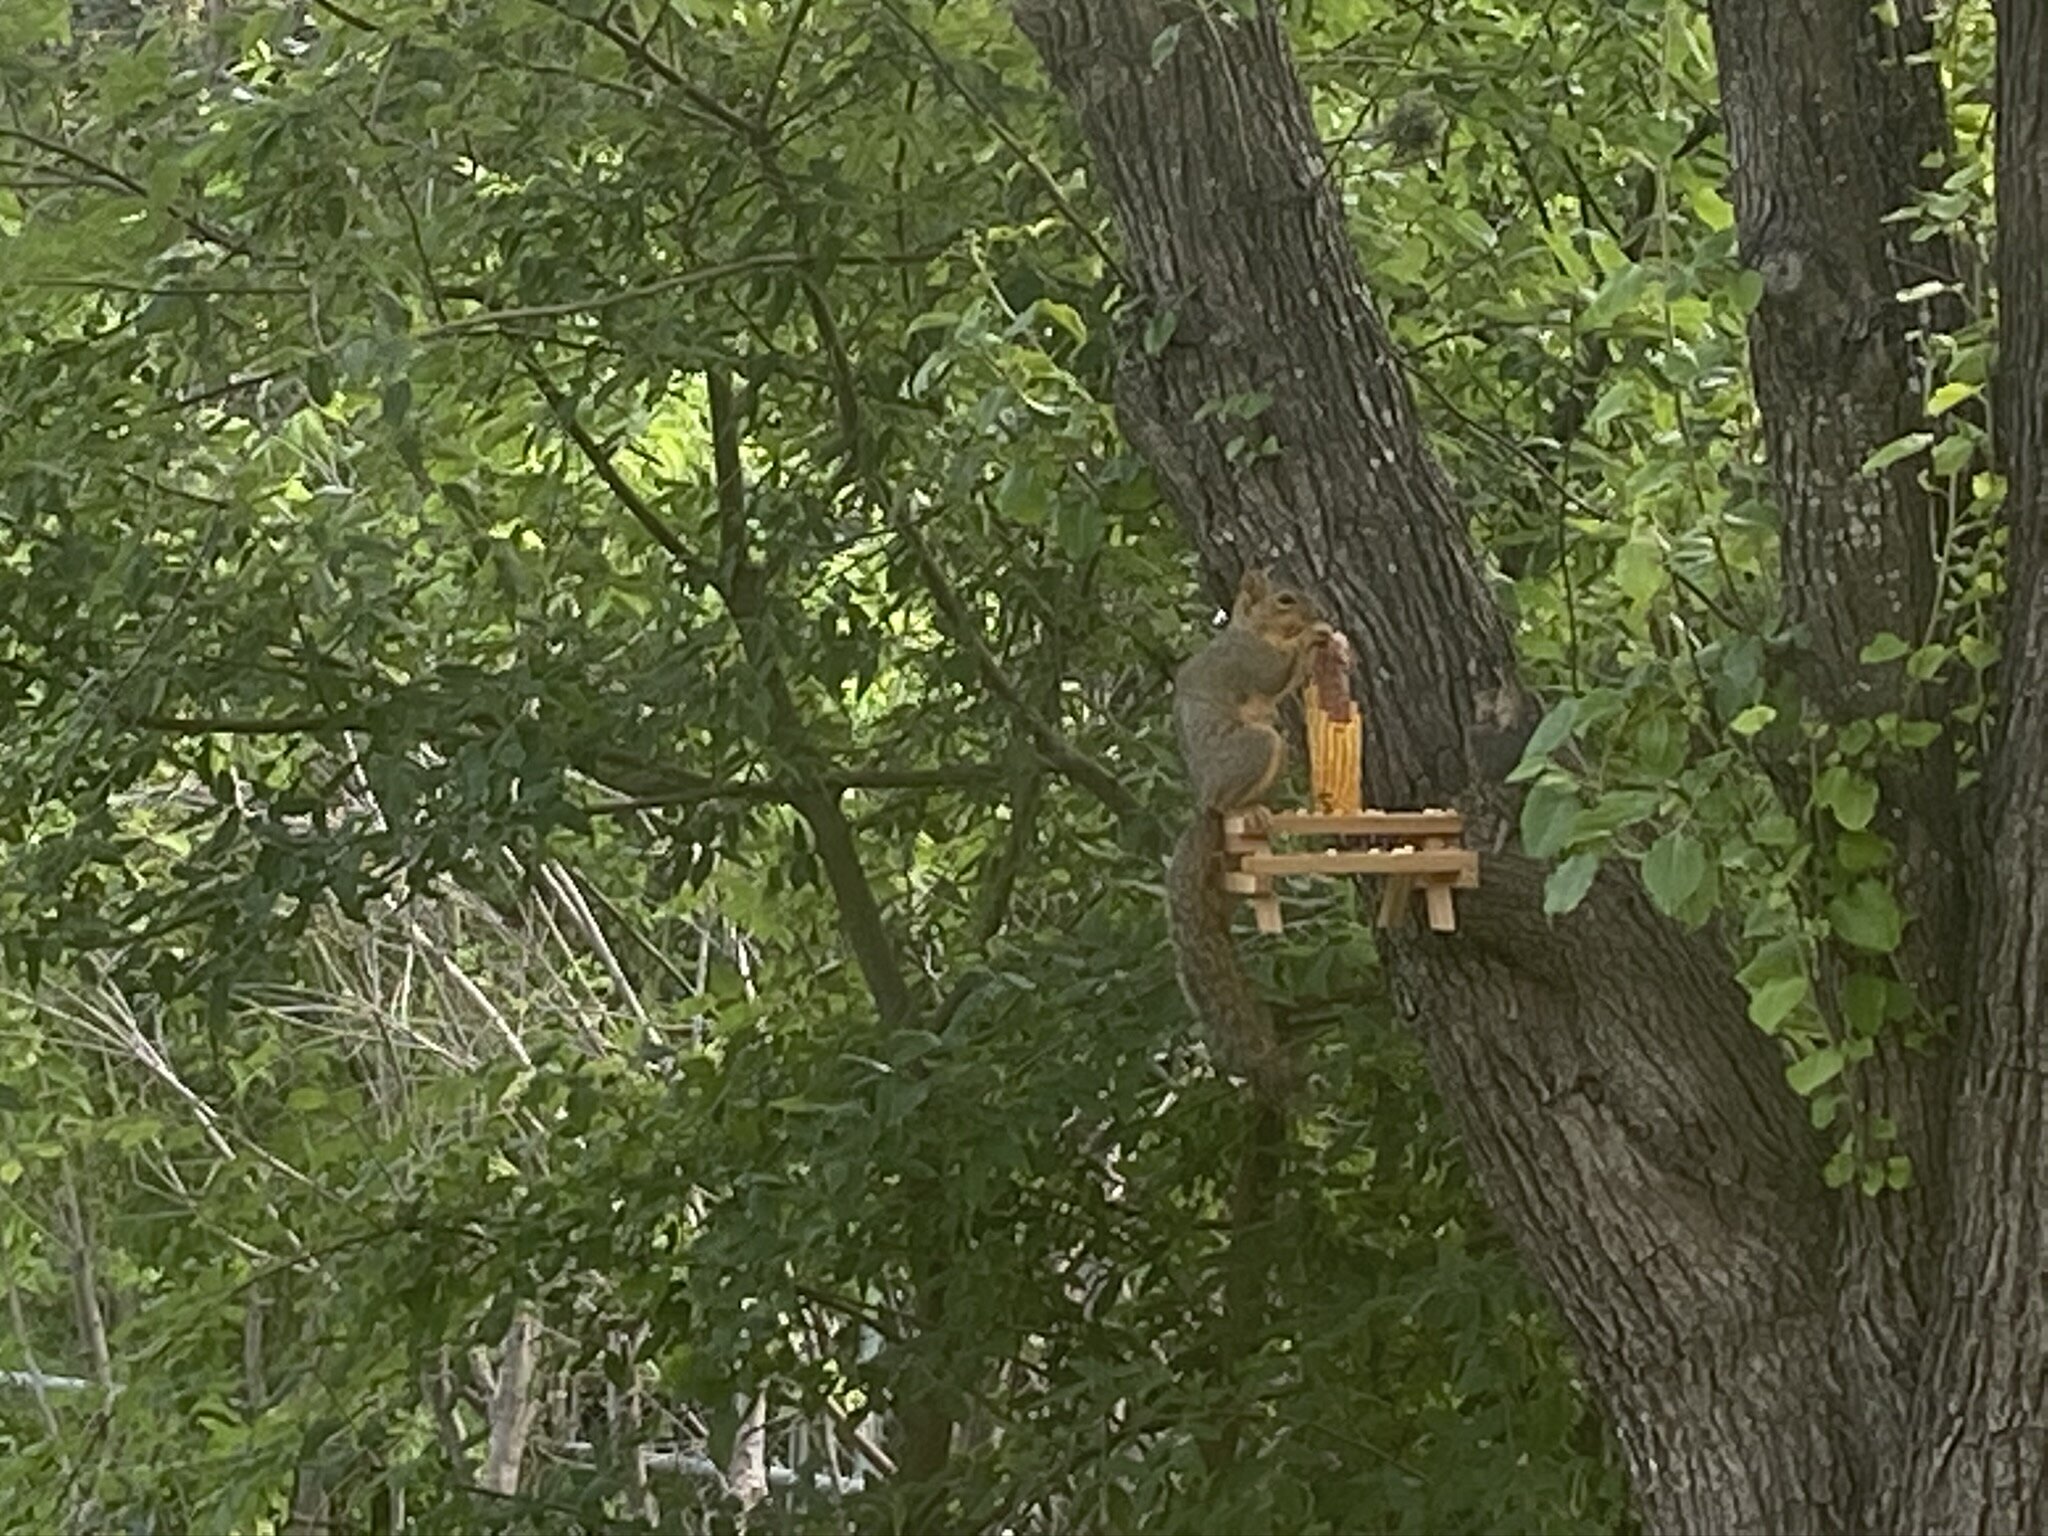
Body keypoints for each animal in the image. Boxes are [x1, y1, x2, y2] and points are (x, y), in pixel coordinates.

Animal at [1166, 568, 1333, 1105]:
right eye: (1285, 600)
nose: (1319, 610)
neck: (1252, 630)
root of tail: (1203, 805)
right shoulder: (1250, 660)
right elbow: (1274, 675)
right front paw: (1312, 637)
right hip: (1257, 745)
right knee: (1230, 800)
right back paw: (1246, 809)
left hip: (1272, 746)